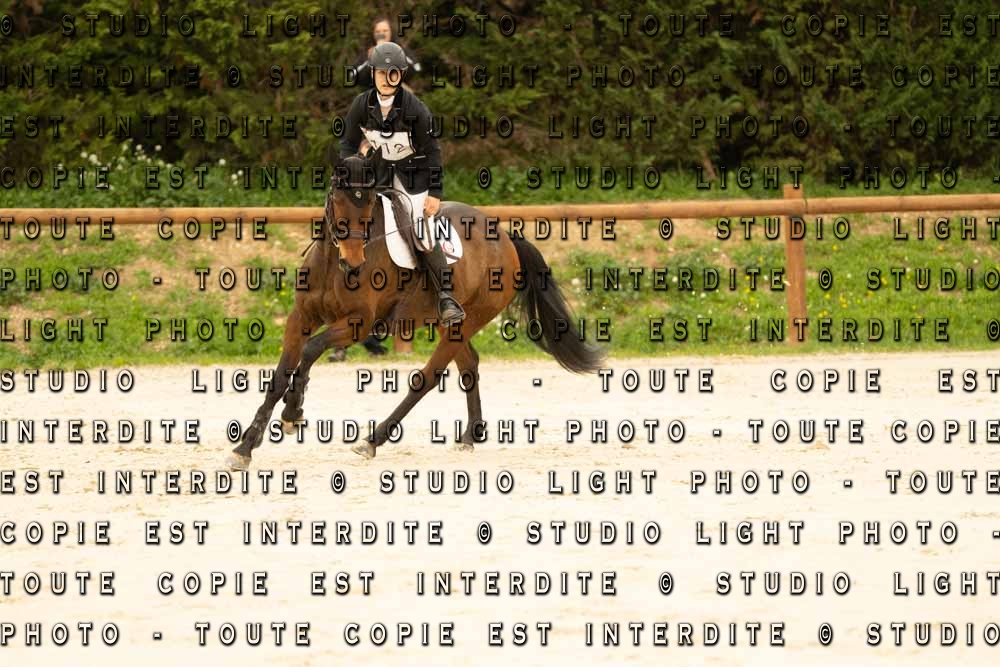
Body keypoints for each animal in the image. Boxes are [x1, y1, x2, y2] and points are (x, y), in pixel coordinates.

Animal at [224, 153, 605, 470]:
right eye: (337, 200)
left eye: (368, 206)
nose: (354, 263)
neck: (335, 264)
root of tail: (506, 237)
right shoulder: (300, 318)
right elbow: (279, 375)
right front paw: (245, 447)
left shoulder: (358, 323)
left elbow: (310, 350)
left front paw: (292, 413)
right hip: (452, 323)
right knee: (469, 365)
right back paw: (469, 436)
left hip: (466, 320)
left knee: (428, 377)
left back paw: (372, 440)